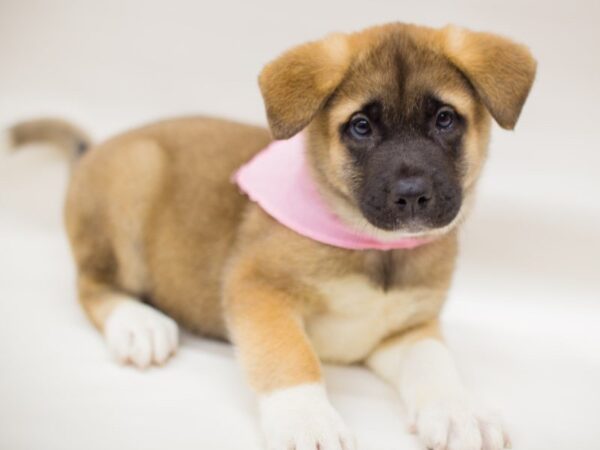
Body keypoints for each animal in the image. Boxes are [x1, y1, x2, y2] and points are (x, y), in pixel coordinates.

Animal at [7, 22, 536, 450]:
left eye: (445, 119)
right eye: (361, 126)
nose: (411, 196)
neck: (374, 249)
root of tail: (94, 150)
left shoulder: (406, 330)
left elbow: (436, 364)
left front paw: (460, 410)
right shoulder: (257, 288)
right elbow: (289, 356)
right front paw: (307, 417)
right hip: (133, 180)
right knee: (92, 285)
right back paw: (138, 324)